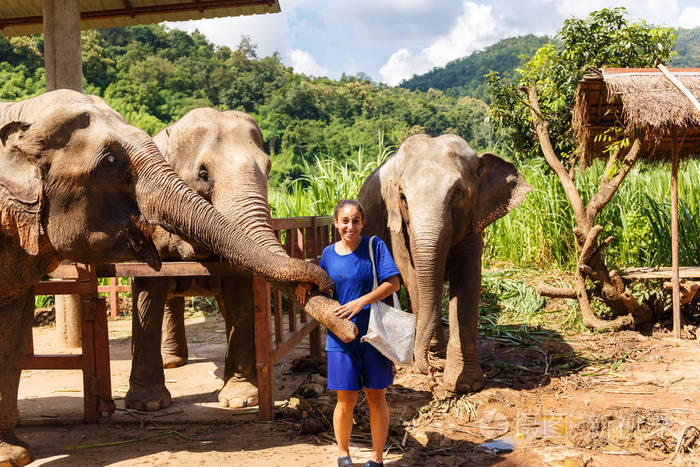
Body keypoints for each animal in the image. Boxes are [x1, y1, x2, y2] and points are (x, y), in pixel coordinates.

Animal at [0, 89, 336, 466]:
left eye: (268, 168)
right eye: (203, 173)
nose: (320, 283)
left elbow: (238, 290)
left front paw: (239, 399)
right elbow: (149, 289)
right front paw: (148, 404)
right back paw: (173, 361)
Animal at [358, 133, 532, 394]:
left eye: (457, 192)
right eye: (402, 197)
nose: (431, 373)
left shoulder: (474, 221)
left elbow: (468, 279)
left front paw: (466, 384)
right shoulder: (396, 222)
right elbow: (410, 272)